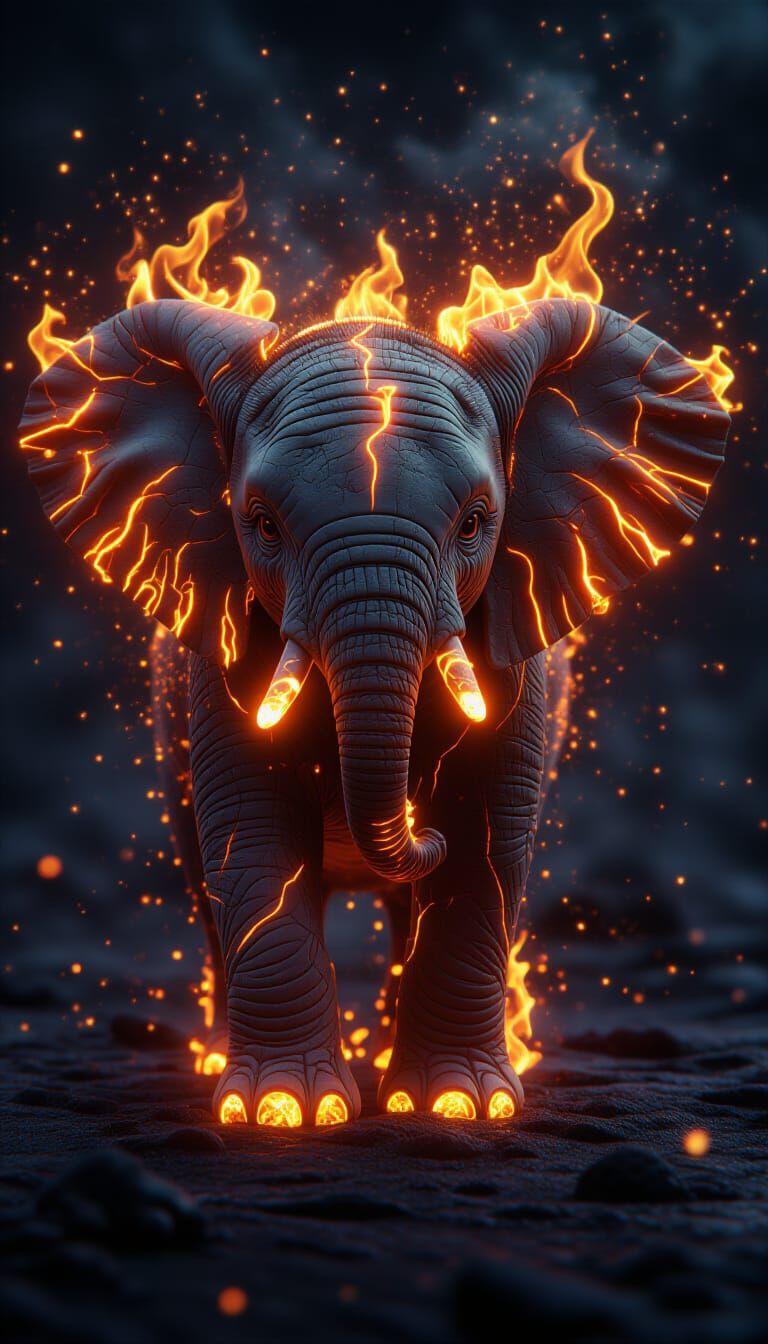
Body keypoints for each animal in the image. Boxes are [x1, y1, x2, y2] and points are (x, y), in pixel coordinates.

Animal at [20, 295, 729, 1127]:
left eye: (474, 522)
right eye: (262, 524)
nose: (419, 831)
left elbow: (487, 837)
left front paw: (458, 1106)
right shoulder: (220, 652)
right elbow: (254, 830)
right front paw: (283, 1112)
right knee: (205, 879)